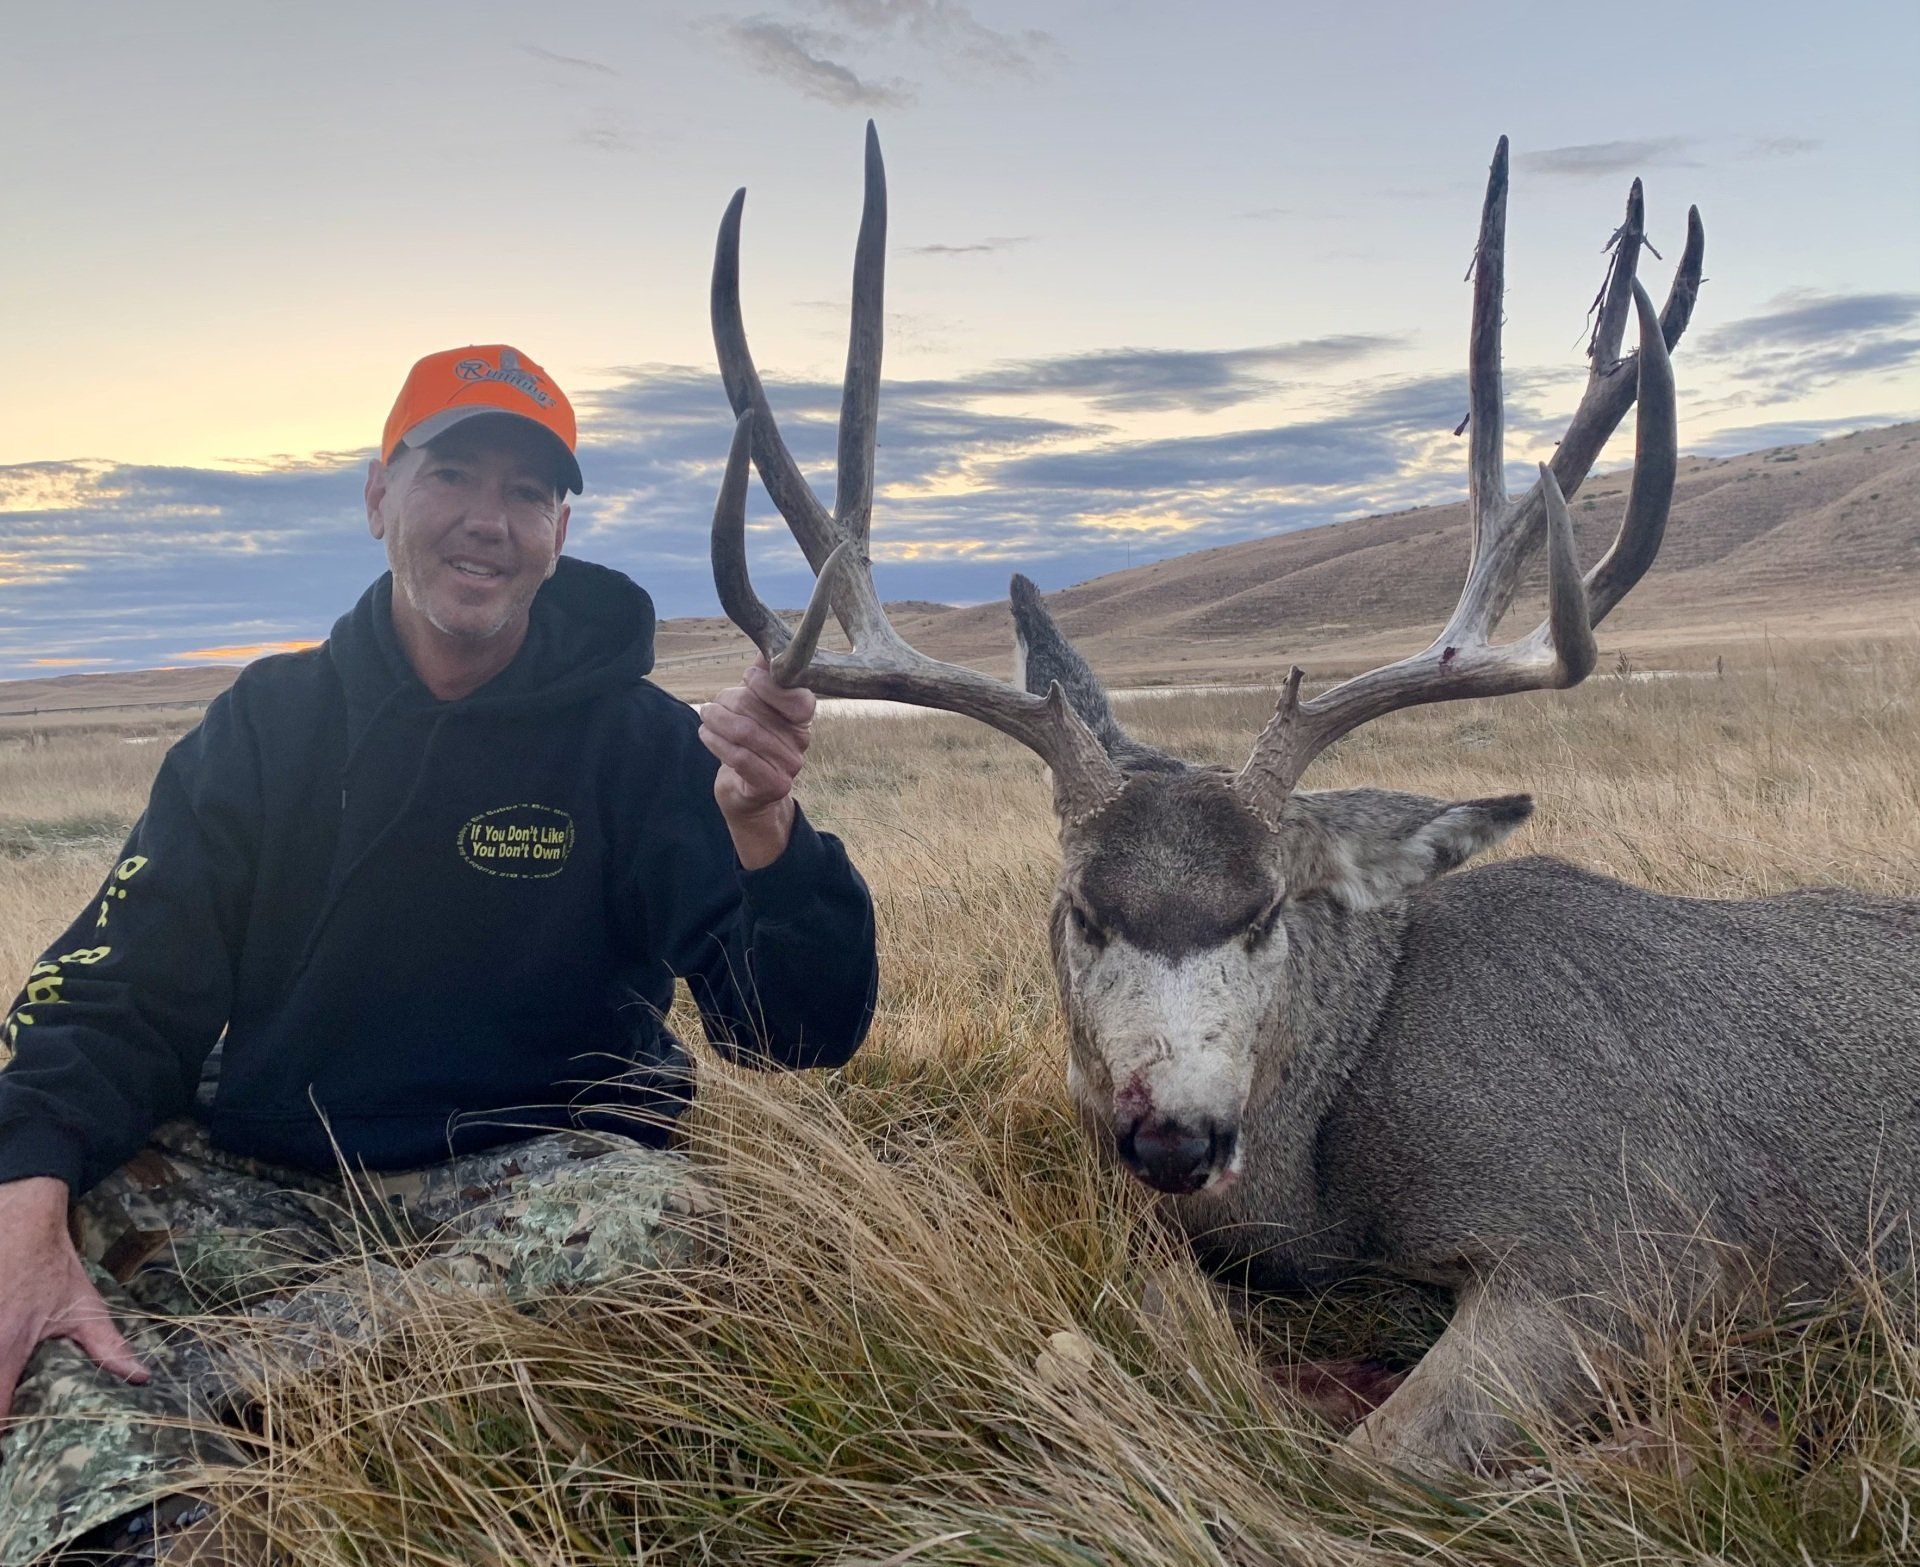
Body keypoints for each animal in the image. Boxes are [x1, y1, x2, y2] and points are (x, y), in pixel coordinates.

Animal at [705, 124, 1920, 1478]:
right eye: (1081, 910)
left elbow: (1366, 1462)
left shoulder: (1636, 1236)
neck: (1324, 1174)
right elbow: (1105, 1331)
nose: (1173, 1136)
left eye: (1267, 912)